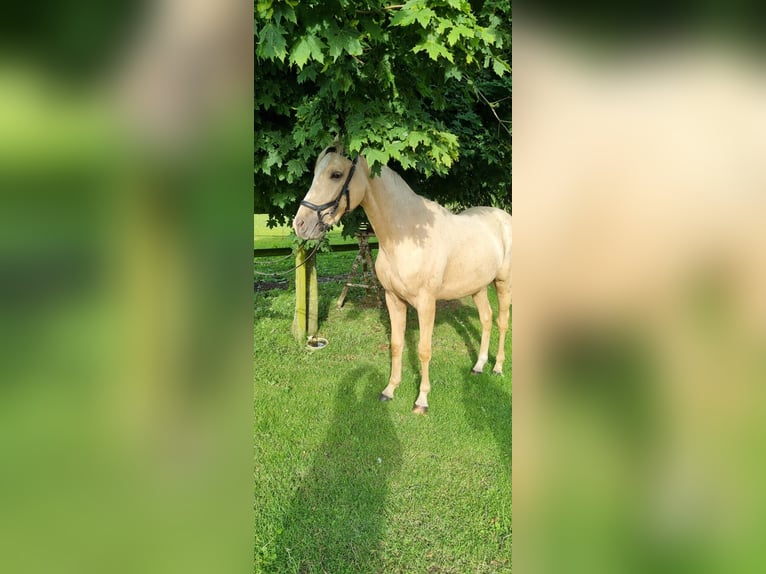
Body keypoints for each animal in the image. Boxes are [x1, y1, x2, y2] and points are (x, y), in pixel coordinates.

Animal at [296, 145, 516, 414]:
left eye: (336, 174)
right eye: (315, 172)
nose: (300, 224)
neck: (407, 234)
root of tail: (504, 218)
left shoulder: (426, 304)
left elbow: (424, 350)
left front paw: (422, 400)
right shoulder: (393, 299)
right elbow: (396, 344)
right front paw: (389, 390)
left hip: (503, 284)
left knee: (502, 322)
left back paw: (497, 367)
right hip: (478, 287)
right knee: (486, 319)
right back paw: (478, 365)